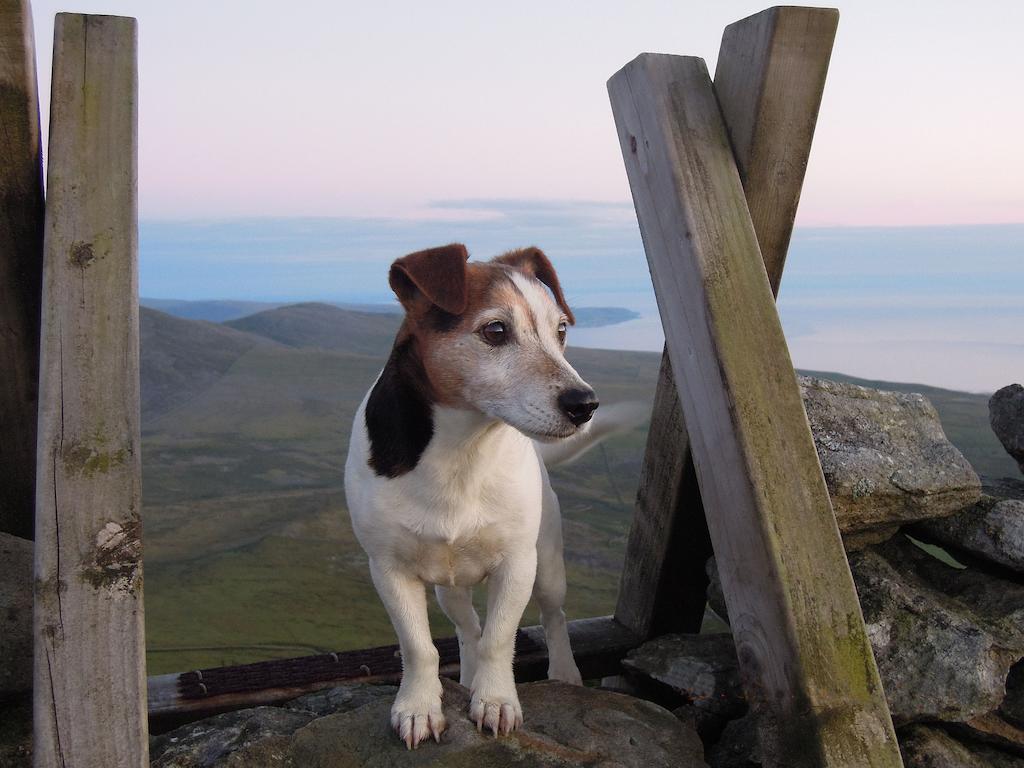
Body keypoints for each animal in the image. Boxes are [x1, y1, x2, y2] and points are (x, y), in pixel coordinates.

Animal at [348, 244, 626, 753]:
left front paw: (496, 701)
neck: (462, 450)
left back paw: (564, 673)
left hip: (548, 566)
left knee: (553, 618)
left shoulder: (516, 564)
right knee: (467, 629)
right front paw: (419, 706)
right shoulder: (390, 570)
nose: (585, 404)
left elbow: (500, 637)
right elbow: (419, 646)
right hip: (448, 588)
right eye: (495, 330)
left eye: (561, 330)